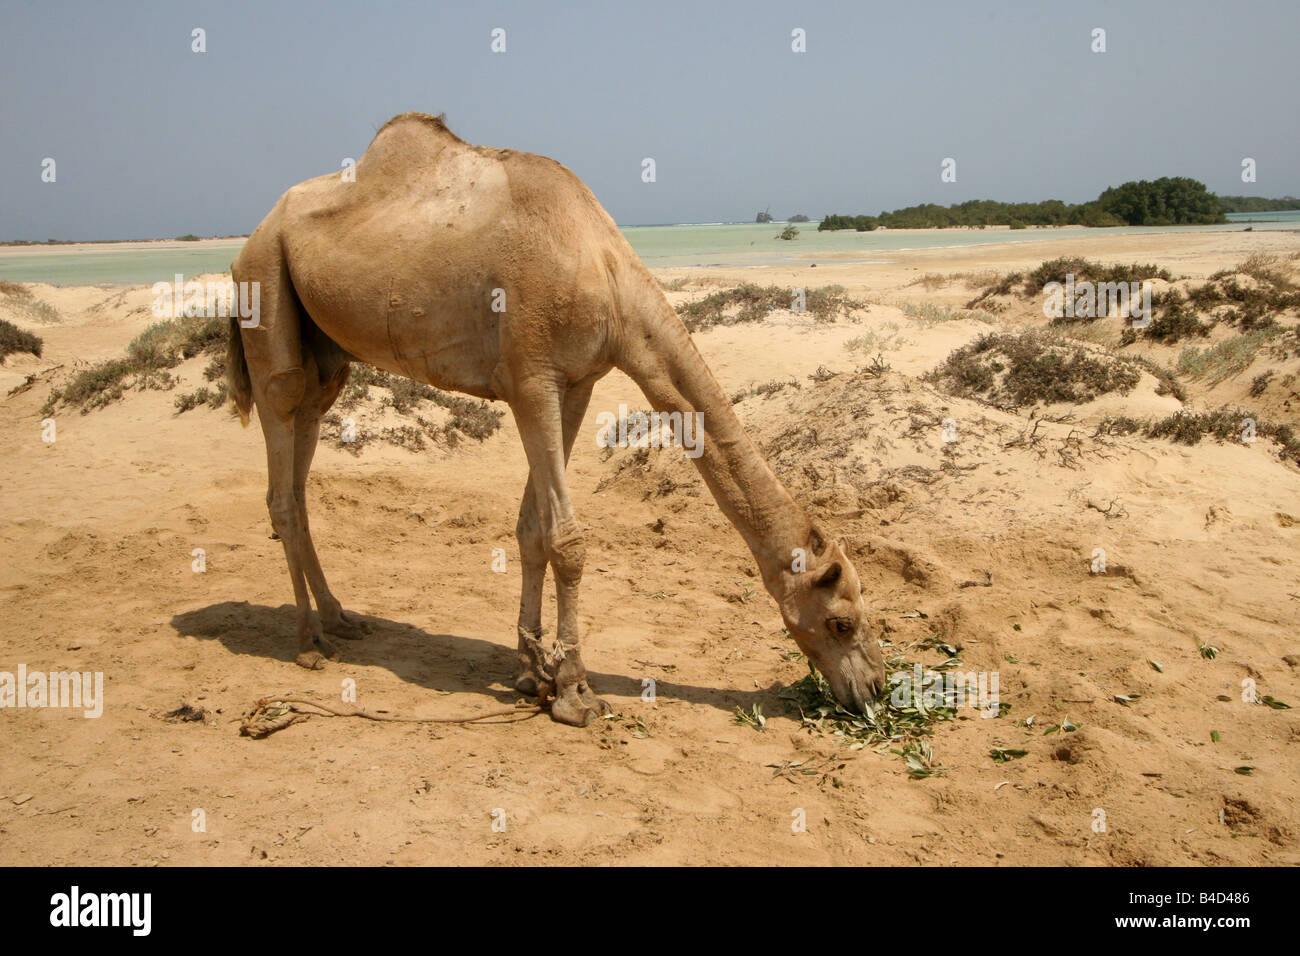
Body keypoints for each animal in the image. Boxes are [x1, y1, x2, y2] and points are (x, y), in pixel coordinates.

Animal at [226, 112, 885, 726]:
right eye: (842, 621)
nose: (874, 691)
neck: (606, 278)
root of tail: (250, 238)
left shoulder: (576, 383)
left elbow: (531, 530)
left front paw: (529, 671)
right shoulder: (531, 379)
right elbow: (567, 538)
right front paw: (574, 692)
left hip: (327, 359)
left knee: (303, 457)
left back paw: (341, 618)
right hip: (266, 292)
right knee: (281, 459)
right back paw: (309, 641)